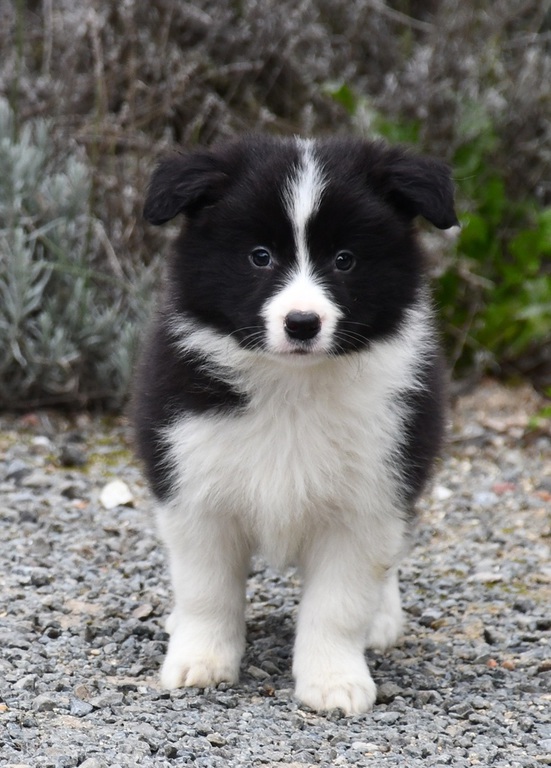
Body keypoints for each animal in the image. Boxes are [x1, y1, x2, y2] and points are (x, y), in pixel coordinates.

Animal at [132, 134, 457, 715]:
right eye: (259, 256)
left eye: (345, 260)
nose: (302, 323)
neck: (292, 386)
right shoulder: (194, 485)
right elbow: (206, 589)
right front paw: (200, 661)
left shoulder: (369, 498)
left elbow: (338, 603)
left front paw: (333, 681)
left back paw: (383, 618)